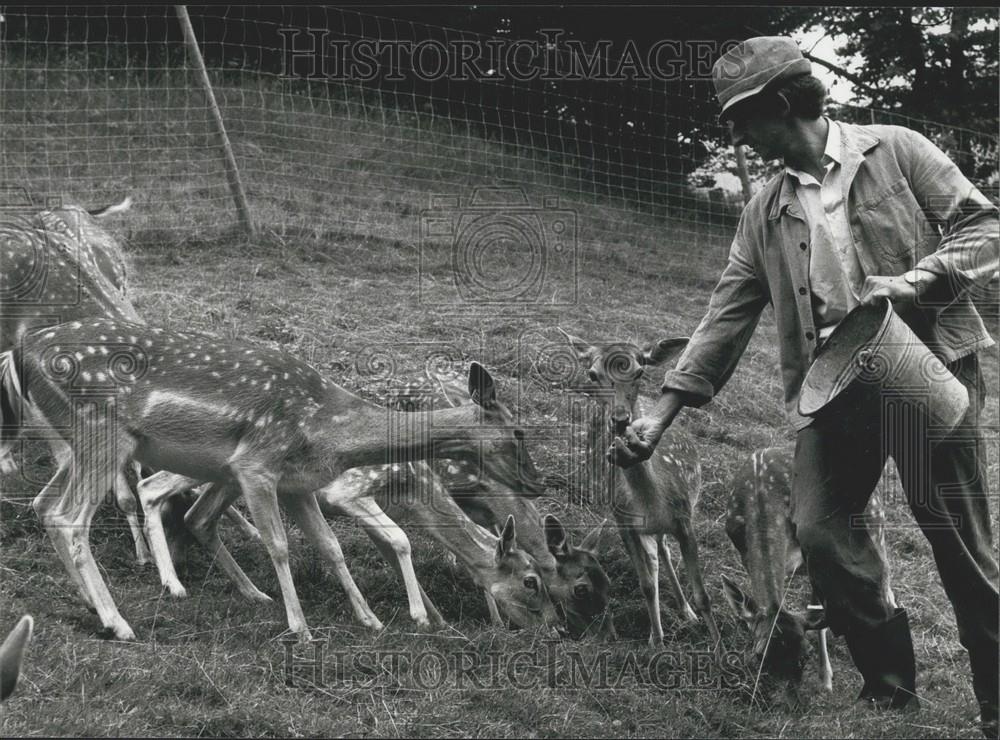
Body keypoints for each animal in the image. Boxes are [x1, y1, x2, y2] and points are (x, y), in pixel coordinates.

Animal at [0, 318, 548, 640]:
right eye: (532, 580)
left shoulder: (299, 484)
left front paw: (369, 618)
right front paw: (301, 627)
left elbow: (330, 547)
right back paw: (120, 621)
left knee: (44, 505)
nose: (538, 483)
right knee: (71, 516)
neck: (331, 430)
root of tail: (18, 352)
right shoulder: (257, 465)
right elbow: (281, 546)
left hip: (73, 441)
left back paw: (92, 606)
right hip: (102, 433)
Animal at [564, 330, 720, 648]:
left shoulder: (685, 519)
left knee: (664, 552)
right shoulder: (625, 523)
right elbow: (647, 583)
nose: (621, 419)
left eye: (638, 372)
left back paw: (686, 611)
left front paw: (720, 649)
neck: (650, 501)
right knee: (657, 556)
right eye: (592, 374)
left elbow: (703, 596)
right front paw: (656, 642)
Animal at [724, 442, 896, 704]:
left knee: (884, 584)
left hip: (876, 529)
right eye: (759, 655)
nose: (786, 704)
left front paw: (826, 679)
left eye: (806, 655)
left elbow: (818, 618)